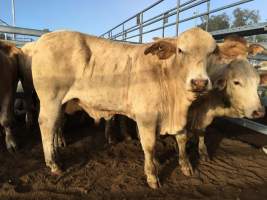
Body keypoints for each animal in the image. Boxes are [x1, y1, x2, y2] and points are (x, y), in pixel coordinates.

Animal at [30, 28, 217, 189]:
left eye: (212, 52)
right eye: (180, 50)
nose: (199, 82)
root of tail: (43, 39)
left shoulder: (177, 118)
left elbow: (182, 139)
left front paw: (186, 167)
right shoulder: (146, 117)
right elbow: (149, 146)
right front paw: (152, 176)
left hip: (59, 105)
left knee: (55, 127)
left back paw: (57, 156)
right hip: (51, 101)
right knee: (46, 126)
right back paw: (54, 164)